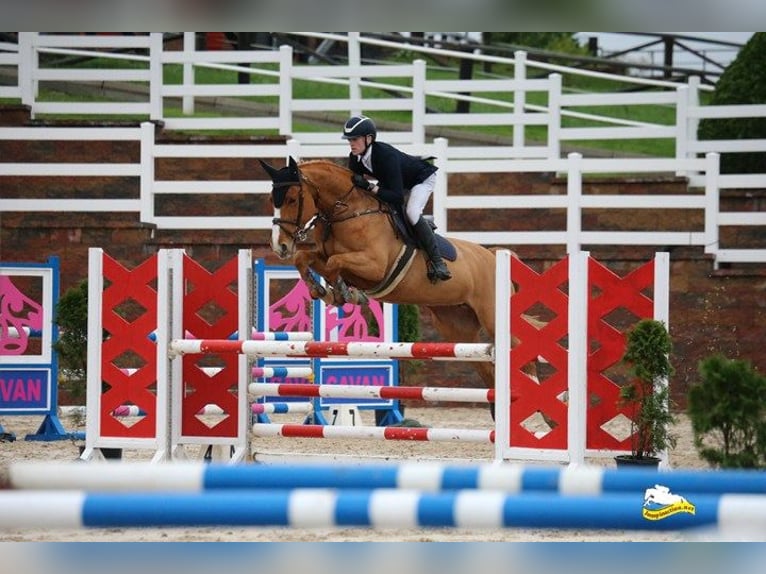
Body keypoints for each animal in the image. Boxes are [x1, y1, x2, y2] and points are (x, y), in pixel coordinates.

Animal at [258, 156, 537, 400]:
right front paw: (322, 290)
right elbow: (304, 259)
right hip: (457, 326)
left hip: (493, 316)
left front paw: (342, 291)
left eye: (292, 198)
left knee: (524, 353)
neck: (348, 212)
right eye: (272, 198)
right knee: (487, 368)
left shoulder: (374, 266)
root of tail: (493, 254)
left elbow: (334, 264)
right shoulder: (322, 253)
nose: (279, 246)